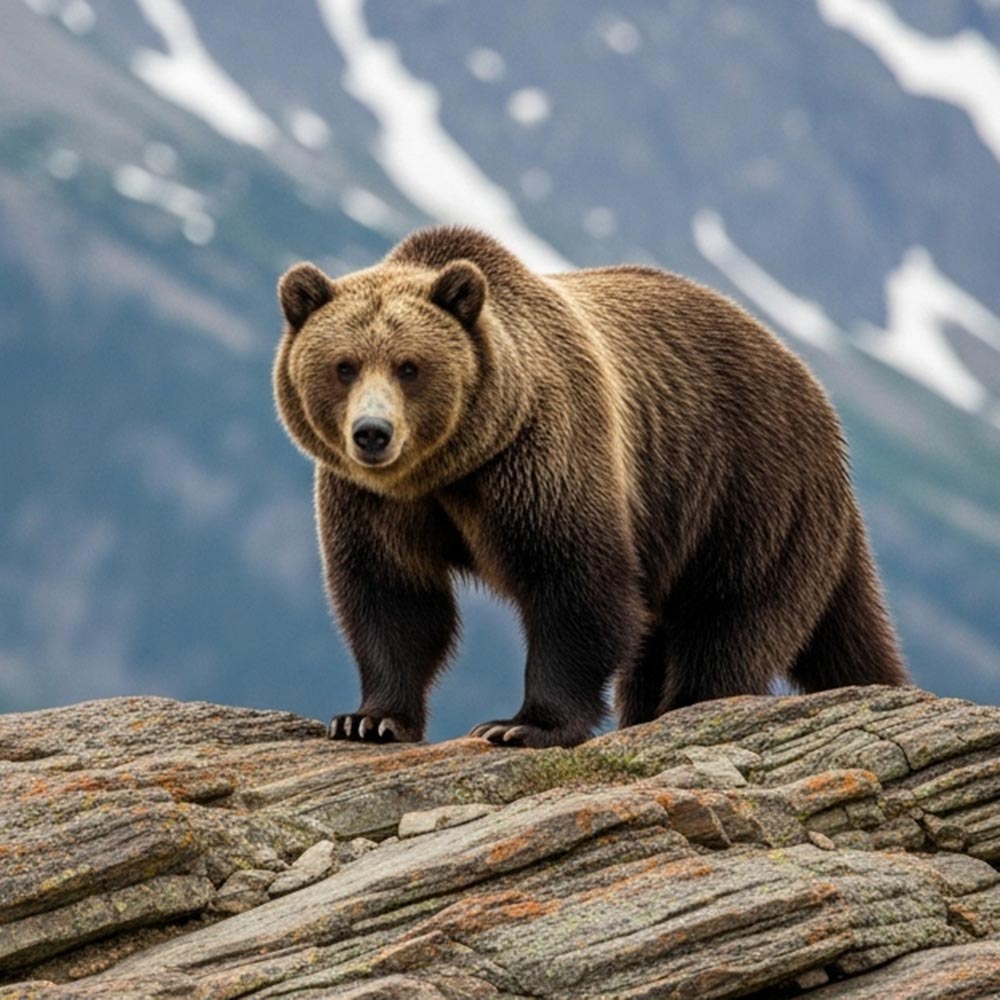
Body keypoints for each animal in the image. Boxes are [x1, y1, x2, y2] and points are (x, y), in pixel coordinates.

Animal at [273, 225, 907, 748]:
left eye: (410, 366)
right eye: (344, 366)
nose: (372, 433)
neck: (451, 465)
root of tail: (810, 382)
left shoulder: (541, 457)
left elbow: (574, 583)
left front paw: (521, 725)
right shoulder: (376, 501)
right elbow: (392, 594)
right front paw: (369, 719)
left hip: (747, 487)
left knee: (730, 613)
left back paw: (693, 702)